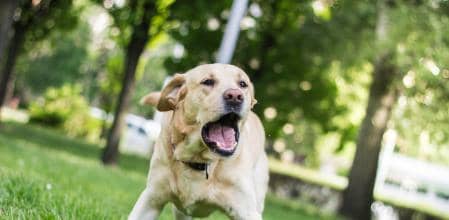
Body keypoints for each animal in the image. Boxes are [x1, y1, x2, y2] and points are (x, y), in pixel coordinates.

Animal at [128, 62, 268, 219]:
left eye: (243, 84)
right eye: (208, 82)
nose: (235, 96)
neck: (199, 161)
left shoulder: (247, 212)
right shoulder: (151, 198)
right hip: (181, 212)